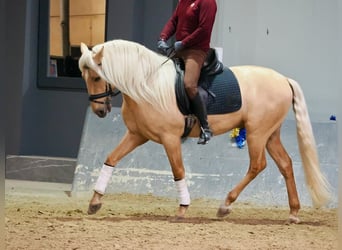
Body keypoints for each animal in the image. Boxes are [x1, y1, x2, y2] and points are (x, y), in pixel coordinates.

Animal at [79, 39, 330, 223]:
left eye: (97, 77)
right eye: (84, 77)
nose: (98, 110)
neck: (147, 84)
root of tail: (283, 79)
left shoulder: (170, 139)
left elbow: (178, 171)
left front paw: (182, 209)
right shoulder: (137, 135)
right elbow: (111, 159)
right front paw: (94, 202)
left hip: (257, 133)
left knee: (258, 165)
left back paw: (225, 206)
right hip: (270, 134)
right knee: (285, 164)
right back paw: (293, 213)